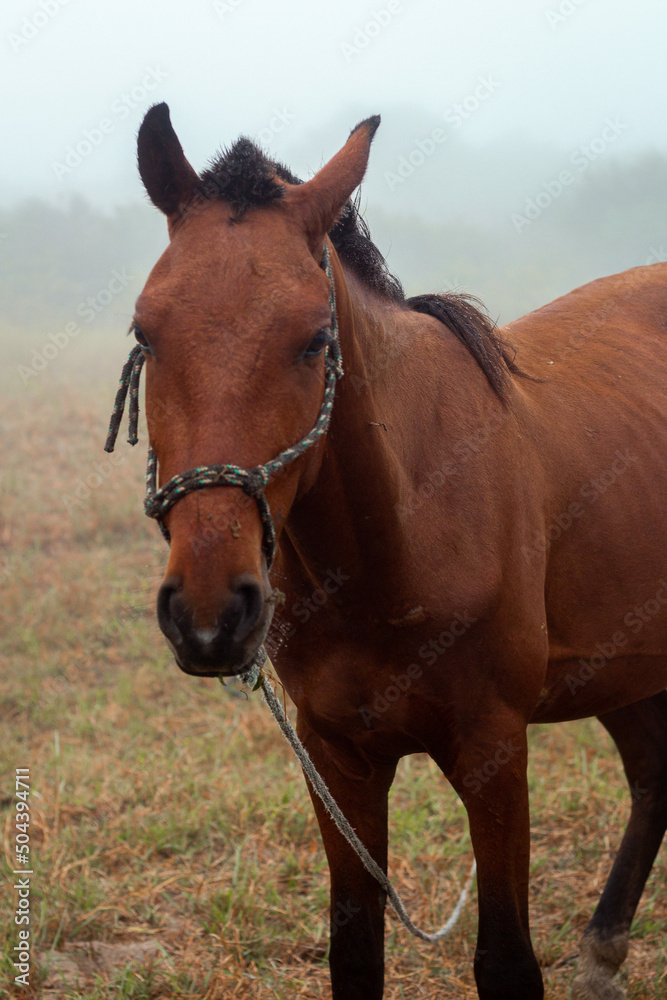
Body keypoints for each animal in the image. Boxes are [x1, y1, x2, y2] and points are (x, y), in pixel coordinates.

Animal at [117, 101, 667, 999]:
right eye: (146, 330)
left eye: (313, 340)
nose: (209, 612)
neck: (395, 551)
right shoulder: (337, 757)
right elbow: (355, 955)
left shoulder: (491, 750)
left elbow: (505, 962)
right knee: (654, 772)